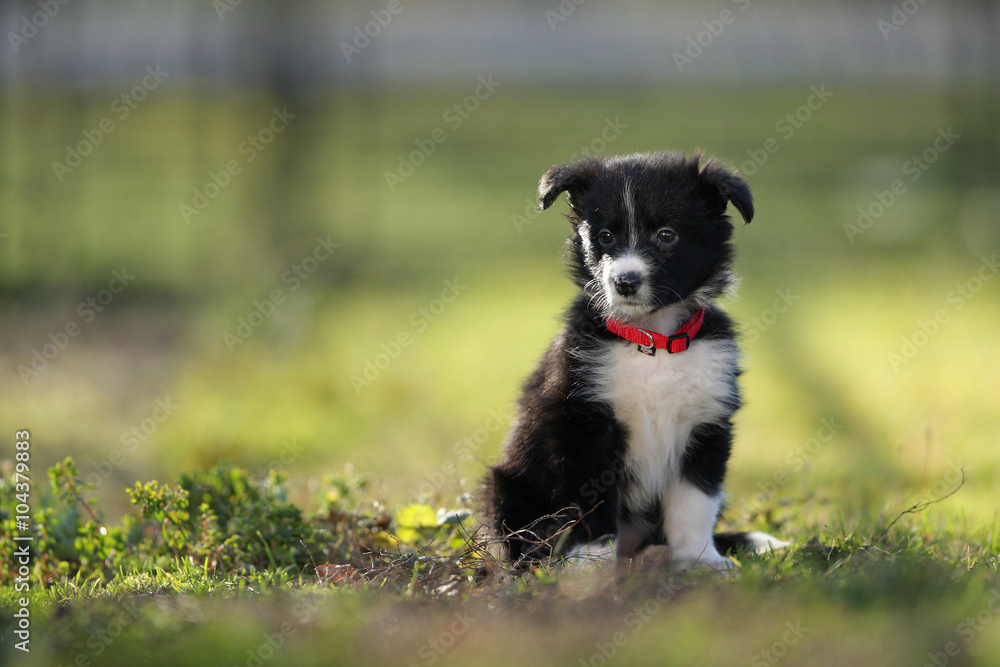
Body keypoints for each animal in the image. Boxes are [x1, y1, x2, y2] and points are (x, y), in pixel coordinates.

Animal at [488, 153, 784, 576]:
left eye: (666, 235)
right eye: (604, 237)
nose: (624, 282)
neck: (652, 342)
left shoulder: (707, 423)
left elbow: (695, 503)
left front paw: (700, 559)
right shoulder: (584, 425)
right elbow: (591, 504)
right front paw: (590, 567)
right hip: (506, 485)